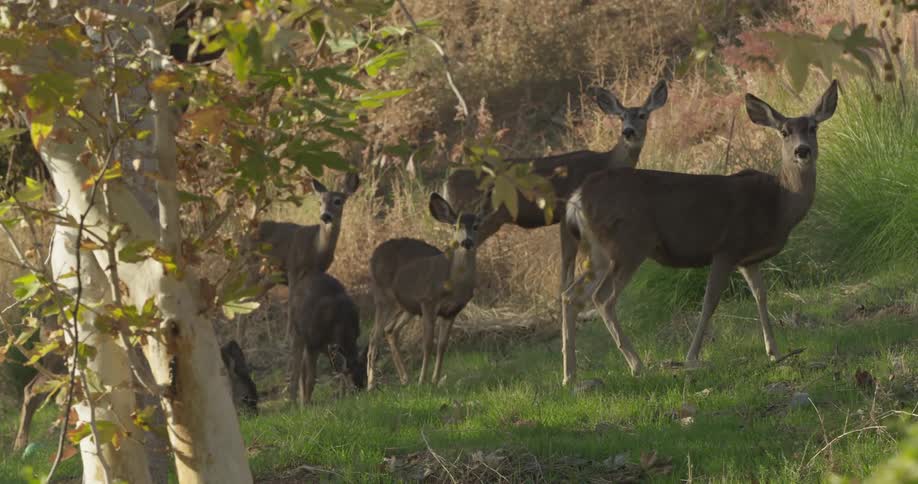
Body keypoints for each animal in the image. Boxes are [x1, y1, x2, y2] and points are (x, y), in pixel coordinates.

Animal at [287, 271, 367, 404]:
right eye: (352, 380)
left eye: (365, 375)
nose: (361, 390)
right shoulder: (313, 344)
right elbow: (312, 378)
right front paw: (307, 403)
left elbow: (339, 369)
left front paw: (343, 396)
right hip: (298, 332)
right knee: (297, 367)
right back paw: (297, 402)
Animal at [365, 193, 481, 390]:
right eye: (455, 226)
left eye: (476, 226)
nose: (467, 242)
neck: (452, 284)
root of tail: (374, 253)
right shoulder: (428, 301)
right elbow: (427, 343)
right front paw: (423, 381)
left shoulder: (452, 311)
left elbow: (442, 346)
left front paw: (435, 380)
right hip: (383, 295)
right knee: (374, 337)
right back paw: (371, 385)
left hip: (407, 305)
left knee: (390, 330)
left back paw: (405, 378)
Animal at [443, 80, 667, 384]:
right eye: (622, 117)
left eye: (643, 115)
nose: (629, 132)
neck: (607, 163)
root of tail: (446, 181)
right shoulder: (564, 216)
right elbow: (565, 277)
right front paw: (568, 366)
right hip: (476, 220)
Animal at [562, 80, 839, 383]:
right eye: (784, 132)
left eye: (813, 127)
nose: (802, 151)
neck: (779, 202)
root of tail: (577, 197)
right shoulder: (727, 247)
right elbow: (710, 301)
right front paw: (692, 357)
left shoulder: (748, 258)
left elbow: (761, 296)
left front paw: (774, 352)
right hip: (629, 244)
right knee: (602, 298)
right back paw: (636, 365)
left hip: (599, 252)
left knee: (570, 295)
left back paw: (570, 376)